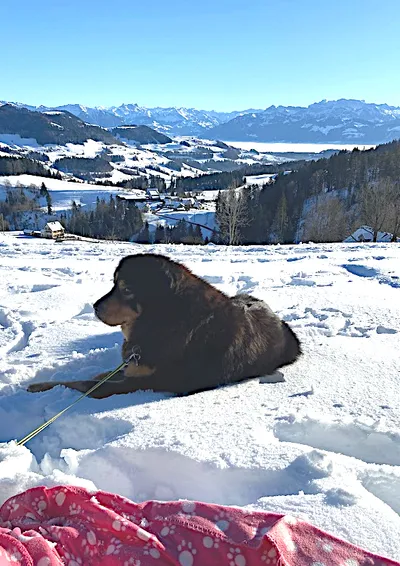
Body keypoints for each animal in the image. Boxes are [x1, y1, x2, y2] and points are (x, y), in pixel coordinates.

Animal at [28, 253, 301, 398]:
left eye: (126, 289)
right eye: (114, 284)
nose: (94, 306)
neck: (164, 322)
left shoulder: (148, 382)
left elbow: (87, 384)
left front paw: (40, 387)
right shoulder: (134, 367)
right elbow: (99, 375)